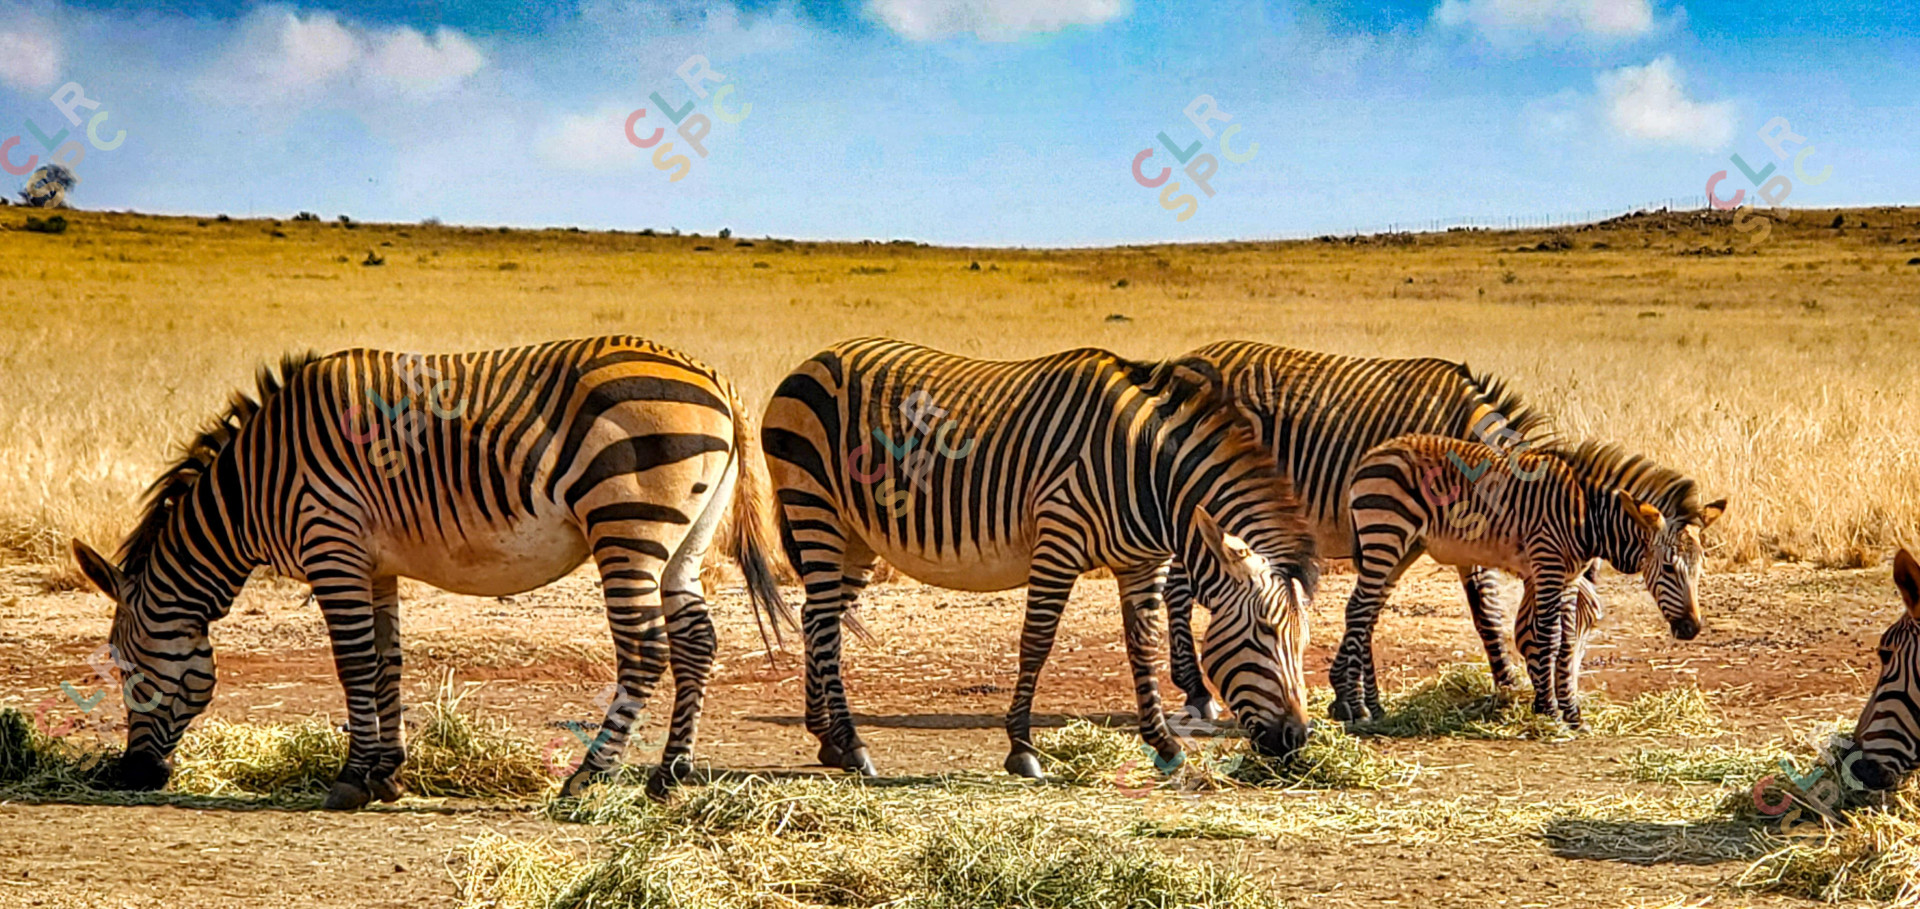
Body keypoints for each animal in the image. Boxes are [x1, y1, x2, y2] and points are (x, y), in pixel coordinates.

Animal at [69, 337, 790, 808]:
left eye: (125, 672)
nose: (132, 775)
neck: (252, 485)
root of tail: (715, 377)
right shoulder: (373, 564)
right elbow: (386, 662)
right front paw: (387, 772)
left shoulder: (331, 545)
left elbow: (353, 664)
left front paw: (351, 778)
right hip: (685, 540)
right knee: (697, 643)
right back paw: (670, 774)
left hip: (627, 523)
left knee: (644, 651)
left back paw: (588, 776)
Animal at [759, 338, 1320, 779]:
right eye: (1265, 633)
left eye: (1302, 639)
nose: (1296, 739)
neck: (1148, 474)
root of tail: (813, 360)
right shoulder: (1059, 539)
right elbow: (1037, 643)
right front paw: (1022, 749)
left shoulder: (1144, 562)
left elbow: (1142, 647)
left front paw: (1163, 744)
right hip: (816, 507)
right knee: (824, 624)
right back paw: (852, 744)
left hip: (856, 535)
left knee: (816, 617)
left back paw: (827, 739)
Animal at [1161, 341, 1603, 720]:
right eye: (1565, 626)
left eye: (1592, 626)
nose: (1573, 706)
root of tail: (1184, 359)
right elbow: (1486, 612)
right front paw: (1508, 688)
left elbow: (1378, 609)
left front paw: (1352, 696)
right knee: (1176, 589)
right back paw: (1196, 691)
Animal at [1333, 435, 1724, 726]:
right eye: (1669, 568)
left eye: (1701, 567)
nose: (1692, 629)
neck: (1589, 514)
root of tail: (1372, 453)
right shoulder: (1548, 566)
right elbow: (1548, 638)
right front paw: (1550, 711)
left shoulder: (1569, 576)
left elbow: (1565, 642)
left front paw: (1571, 712)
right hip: (1386, 535)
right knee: (1358, 610)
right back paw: (1357, 706)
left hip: (1404, 548)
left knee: (1368, 614)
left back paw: (1371, 705)